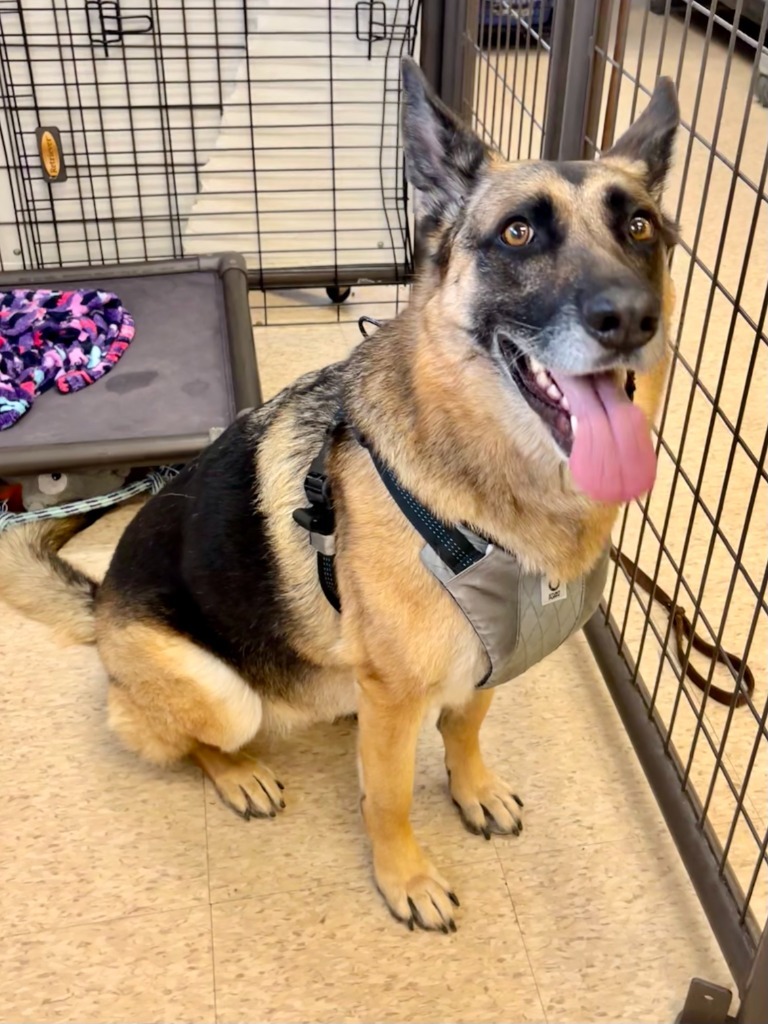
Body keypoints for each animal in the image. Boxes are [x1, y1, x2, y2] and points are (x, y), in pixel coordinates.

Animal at [3, 59, 684, 933]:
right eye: (518, 234)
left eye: (639, 228)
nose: (631, 318)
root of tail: (100, 609)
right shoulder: (399, 696)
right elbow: (389, 798)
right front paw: (405, 877)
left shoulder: (487, 665)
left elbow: (466, 730)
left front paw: (473, 789)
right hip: (221, 693)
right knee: (199, 738)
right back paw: (240, 773)